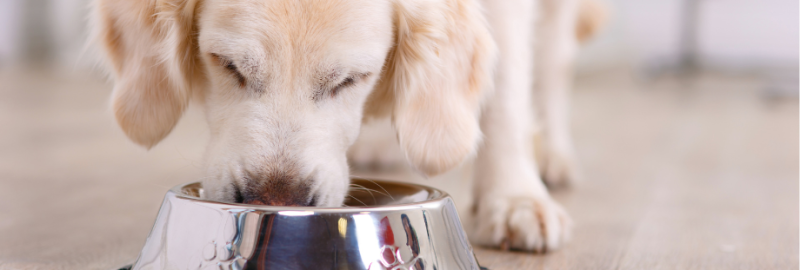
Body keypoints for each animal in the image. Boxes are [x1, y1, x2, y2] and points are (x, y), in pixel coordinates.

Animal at [94, 0, 604, 251]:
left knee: (555, 57)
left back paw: (552, 155)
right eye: (228, 65)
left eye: (350, 80)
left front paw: (514, 199)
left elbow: (508, 88)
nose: (277, 202)